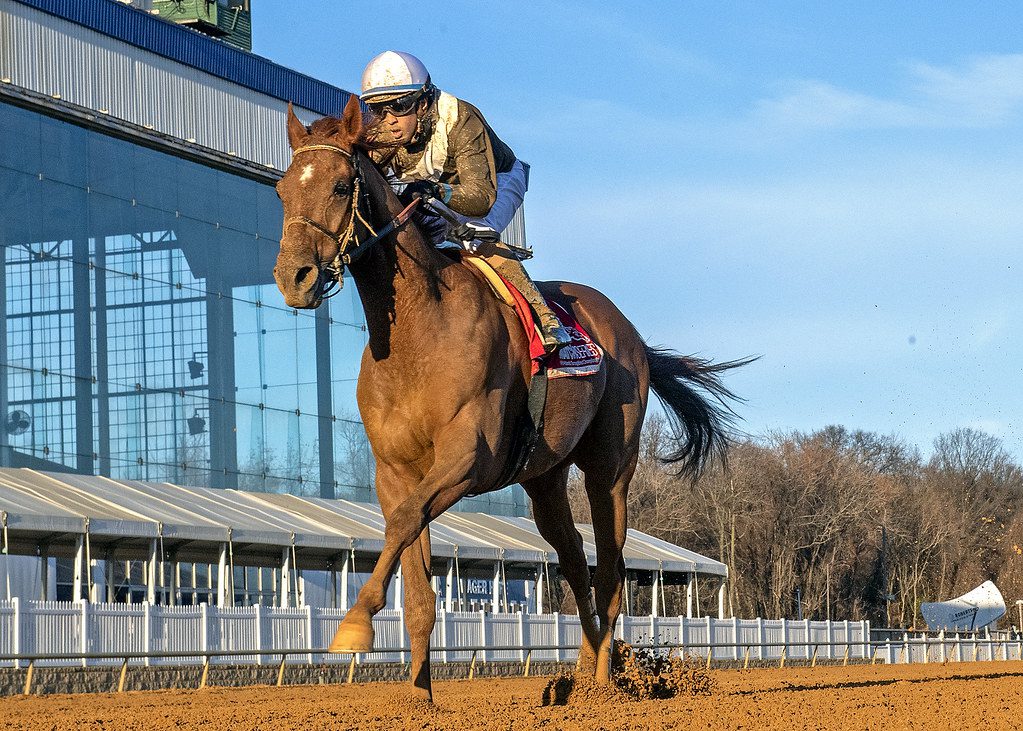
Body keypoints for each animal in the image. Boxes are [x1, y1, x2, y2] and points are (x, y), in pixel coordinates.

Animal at [276, 94, 748, 699]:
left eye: (340, 186)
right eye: (281, 190)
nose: (293, 277)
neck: (416, 337)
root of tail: (632, 335)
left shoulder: (469, 458)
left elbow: (403, 523)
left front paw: (355, 624)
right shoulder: (396, 472)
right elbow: (415, 573)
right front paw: (419, 699)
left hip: (610, 467)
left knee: (611, 570)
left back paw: (604, 687)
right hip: (543, 478)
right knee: (573, 560)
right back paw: (577, 681)